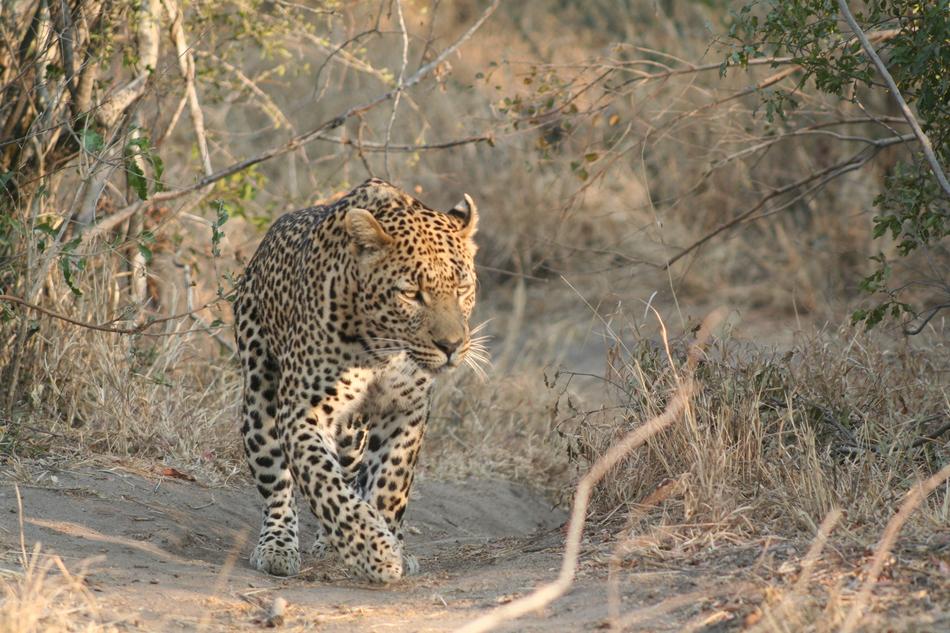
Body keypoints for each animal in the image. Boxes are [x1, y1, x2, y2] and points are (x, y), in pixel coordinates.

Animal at [233, 178, 482, 583]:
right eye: (411, 293)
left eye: (461, 288)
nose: (451, 346)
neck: (383, 348)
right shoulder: (301, 411)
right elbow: (323, 482)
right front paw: (373, 550)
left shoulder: (407, 410)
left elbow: (391, 483)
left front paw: (388, 543)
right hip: (259, 399)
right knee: (277, 484)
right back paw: (278, 546)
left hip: (351, 435)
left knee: (349, 471)